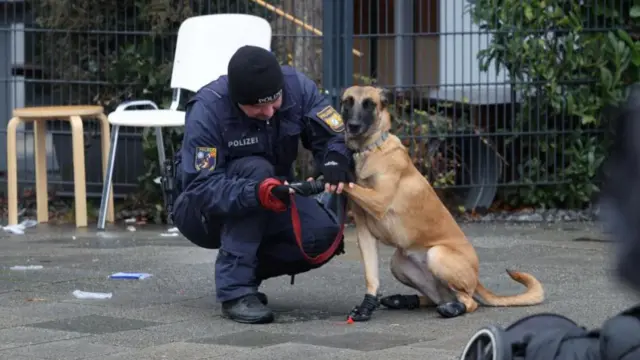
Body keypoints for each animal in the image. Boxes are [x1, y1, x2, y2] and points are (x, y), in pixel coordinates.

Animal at [340, 86, 544, 322]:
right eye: (348, 102)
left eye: (369, 104)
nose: (353, 126)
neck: (371, 149)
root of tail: (477, 280)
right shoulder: (365, 234)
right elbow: (371, 276)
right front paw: (367, 306)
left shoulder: (378, 200)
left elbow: (348, 183)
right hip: (398, 264)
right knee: (438, 298)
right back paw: (404, 300)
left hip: (437, 255)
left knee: (469, 302)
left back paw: (452, 309)